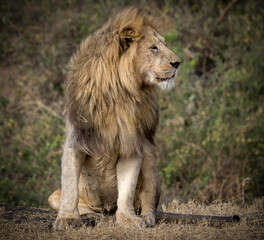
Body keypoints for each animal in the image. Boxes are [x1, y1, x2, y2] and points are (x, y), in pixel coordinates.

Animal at [48, 6, 180, 230]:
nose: (178, 63)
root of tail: (106, 210)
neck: (119, 95)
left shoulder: (133, 144)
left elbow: (126, 190)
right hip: (54, 196)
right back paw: (91, 216)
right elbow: (70, 187)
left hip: (150, 159)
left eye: (164, 45)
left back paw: (145, 218)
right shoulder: (76, 141)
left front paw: (128, 220)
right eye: (154, 47)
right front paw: (67, 219)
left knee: (148, 199)